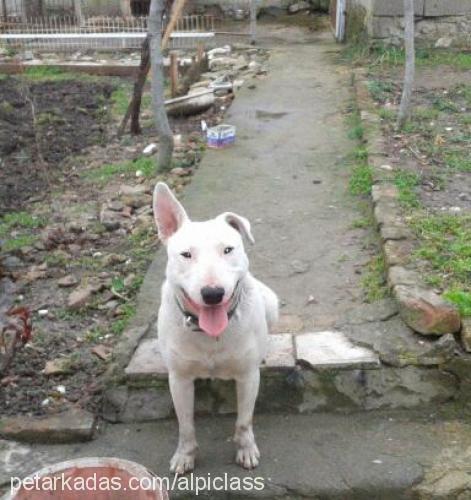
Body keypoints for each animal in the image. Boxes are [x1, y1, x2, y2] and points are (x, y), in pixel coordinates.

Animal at [154, 183, 280, 472]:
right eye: (186, 254)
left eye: (228, 250)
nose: (212, 294)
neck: (209, 334)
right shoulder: (179, 379)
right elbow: (185, 425)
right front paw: (185, 455)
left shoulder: (248, 377)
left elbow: (244, 421)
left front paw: (246, 450)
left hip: (271, 302)